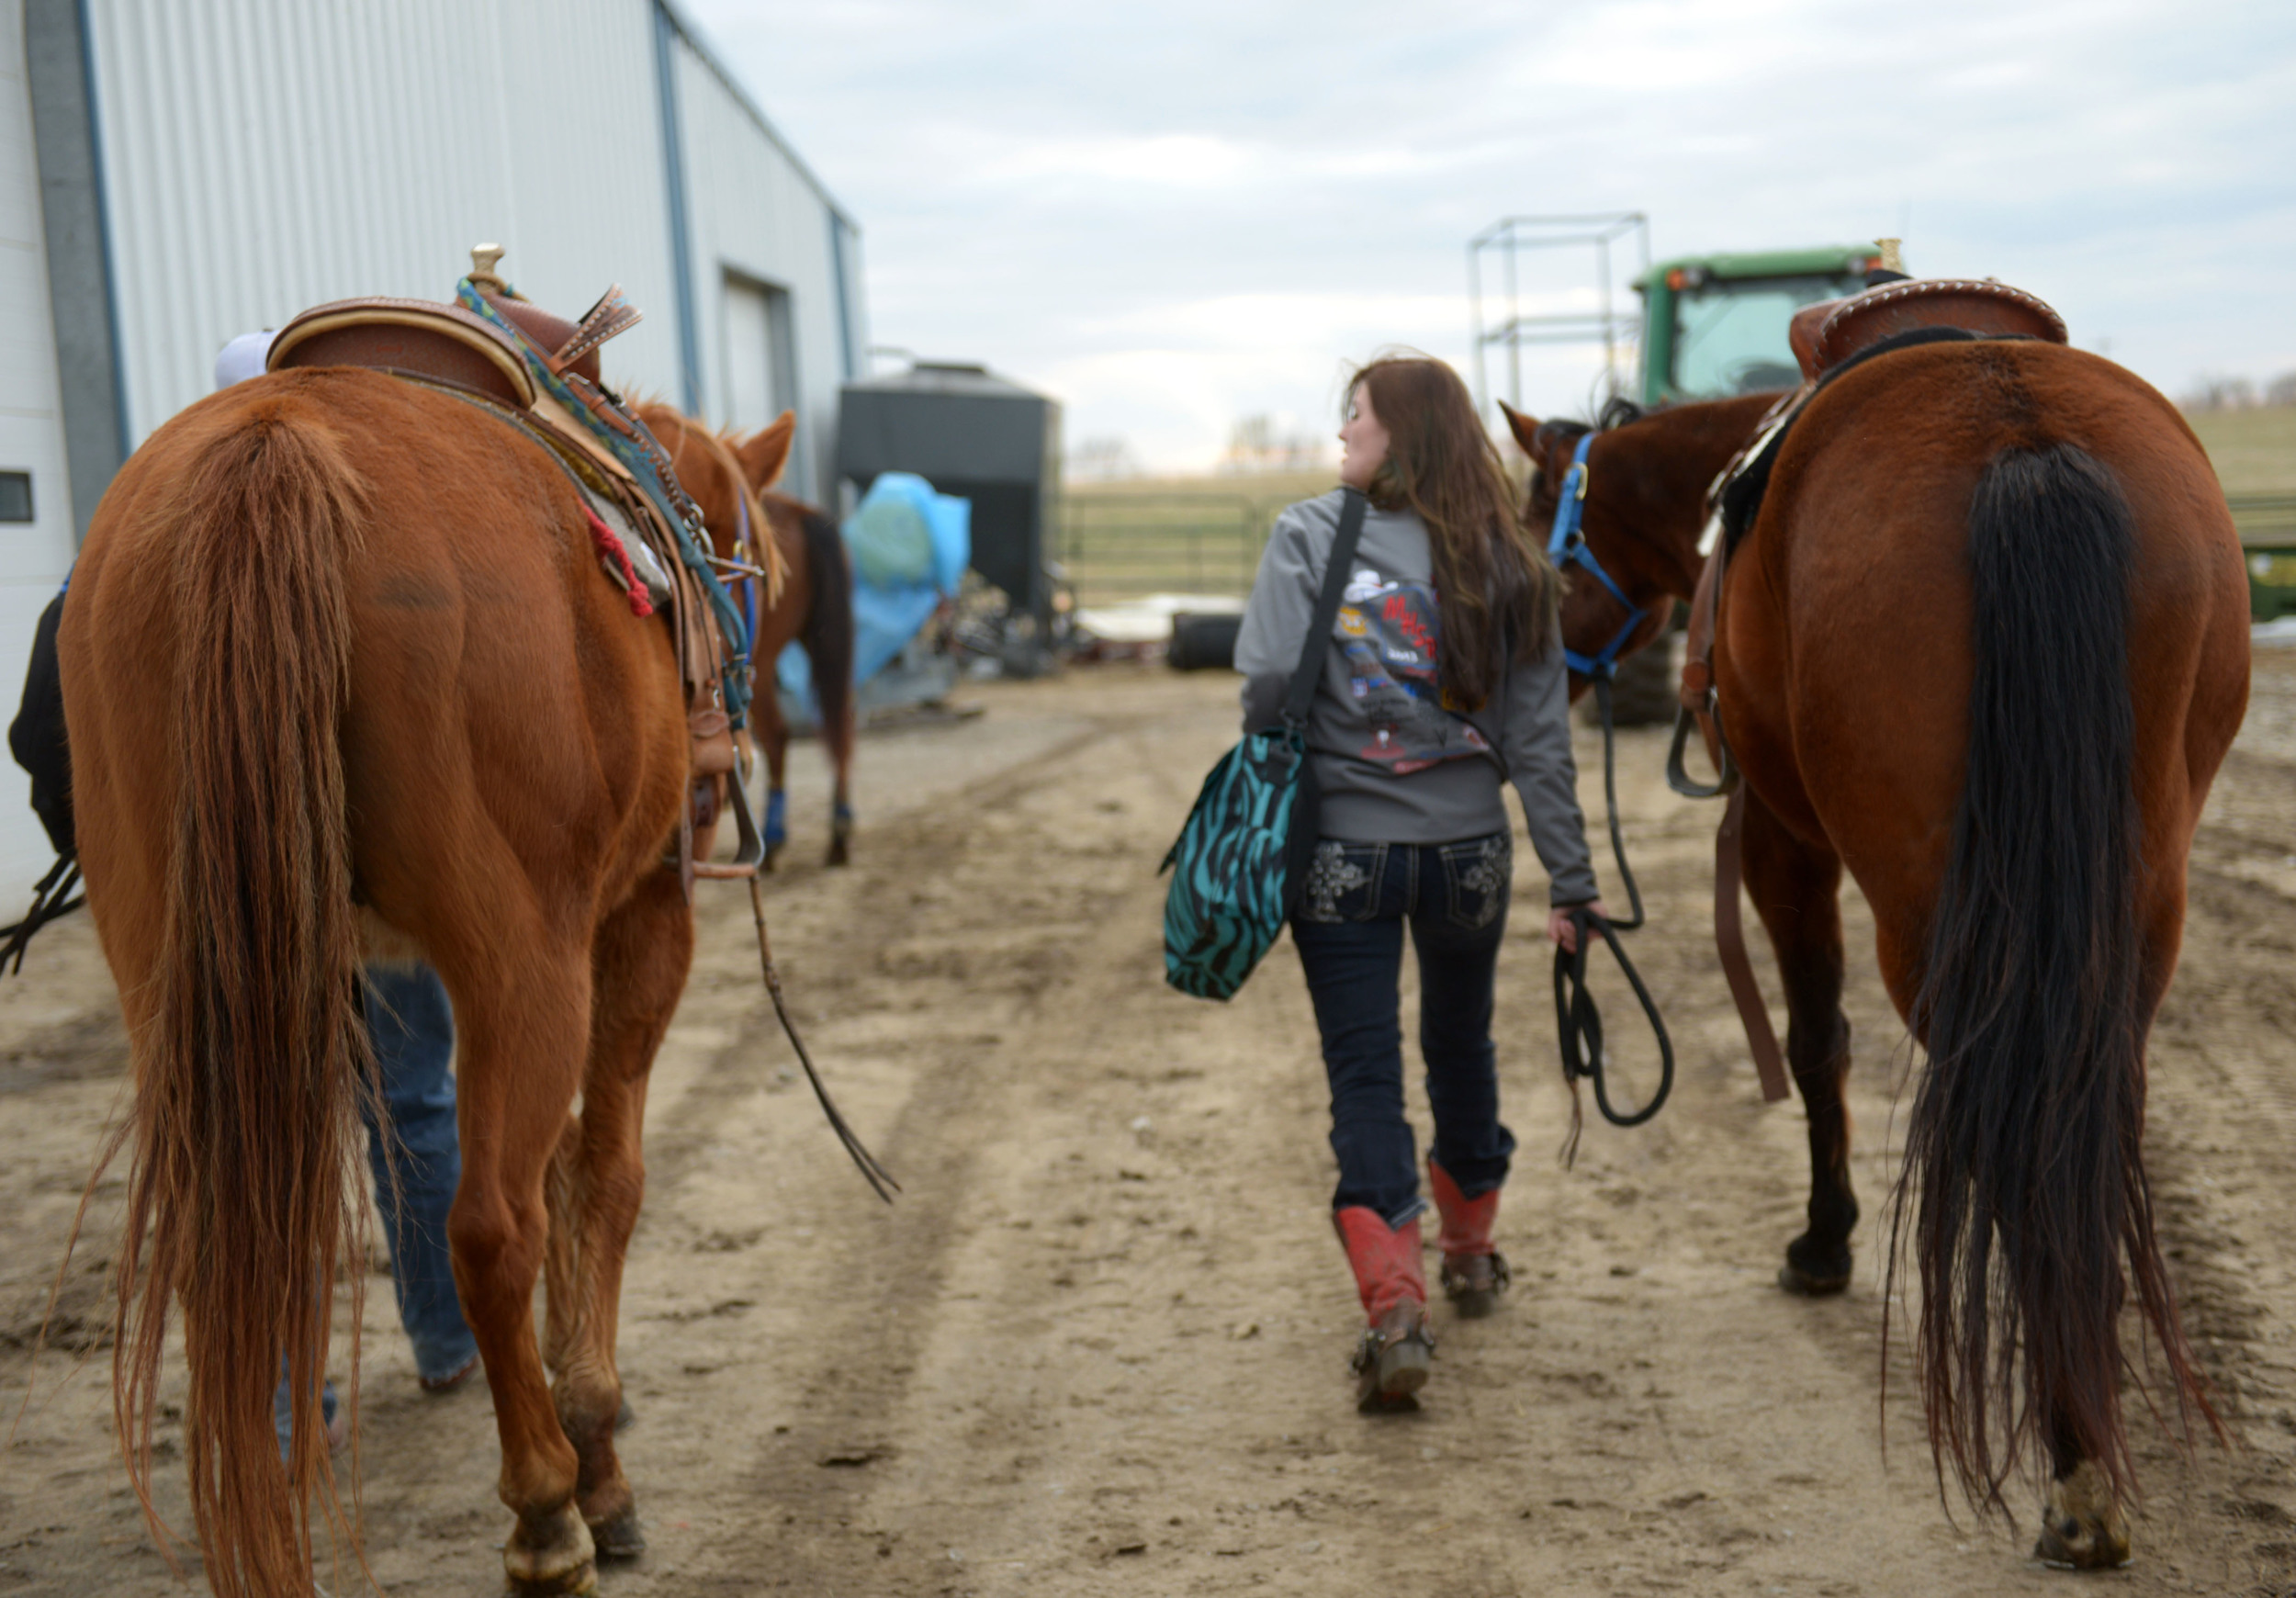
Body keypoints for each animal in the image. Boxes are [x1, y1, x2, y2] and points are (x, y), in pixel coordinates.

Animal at [62, 365, 721, 1598]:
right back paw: (548, 1514)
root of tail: (276, 441)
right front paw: (600, 1461)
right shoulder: (642, 917)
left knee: (228, 1259)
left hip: (164, 960)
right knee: (494, 1226)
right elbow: (601, 1178)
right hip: (523, 962)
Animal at [1497, 332, 2250, 1561]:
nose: (1518, 673)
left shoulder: (1777, 833)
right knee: (2095, 1108)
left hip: (1930, 912)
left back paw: (2073, 1466)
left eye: (1534, 526)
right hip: (2138, 895)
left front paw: (1823, 1242)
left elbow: (1815, 1042)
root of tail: (2019, 435)